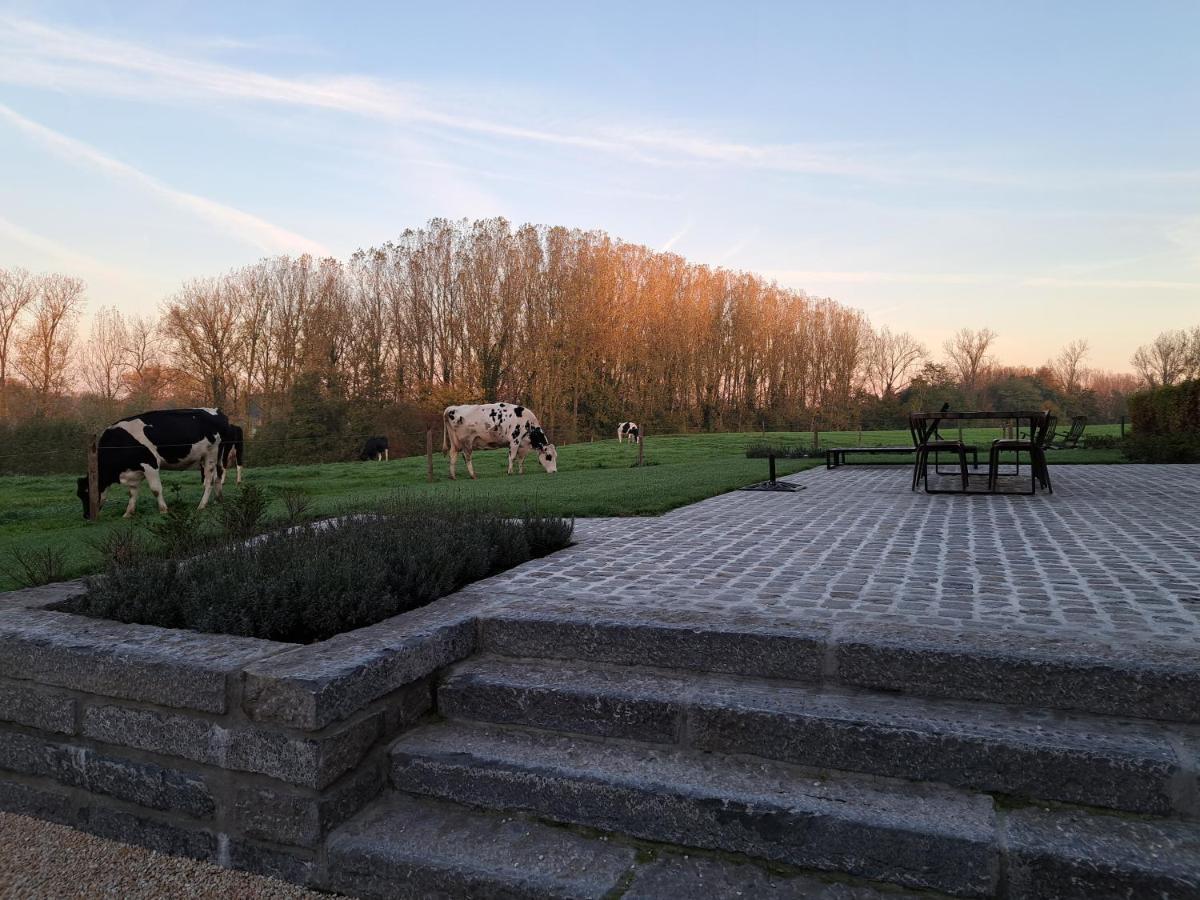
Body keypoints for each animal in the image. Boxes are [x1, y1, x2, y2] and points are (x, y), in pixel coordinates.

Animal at [78, 408, 228, 520]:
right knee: (218, 477)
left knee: (209, 481)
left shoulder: (150, 464)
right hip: (215, 457)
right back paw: (218, 500)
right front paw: (128, 513)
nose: (86, 516)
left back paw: (201, 506)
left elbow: (156, 489)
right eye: (79, 495)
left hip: (211, 454)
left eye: (86, 492)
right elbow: (132, 493)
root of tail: (217, 412)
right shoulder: (133, 472)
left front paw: (163, 510)